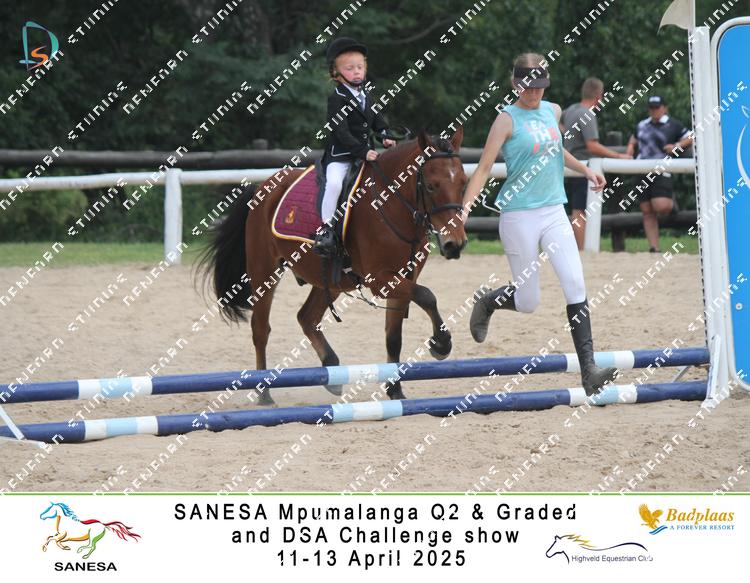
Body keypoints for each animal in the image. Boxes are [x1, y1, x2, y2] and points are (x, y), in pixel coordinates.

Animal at [199, 128, 468, 405]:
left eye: (463, 184)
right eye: (431, 185)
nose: (454, 245)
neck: (391, 206)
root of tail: (263, 187)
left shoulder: (404, 277)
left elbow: (394, 336)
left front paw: (395, 390)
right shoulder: (380, 279)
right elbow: (427, 296)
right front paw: (441, 343)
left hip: (329, 278)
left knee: (306, 317)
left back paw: (332, 371)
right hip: (264, 270)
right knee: (260, 328)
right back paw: (264, 393)